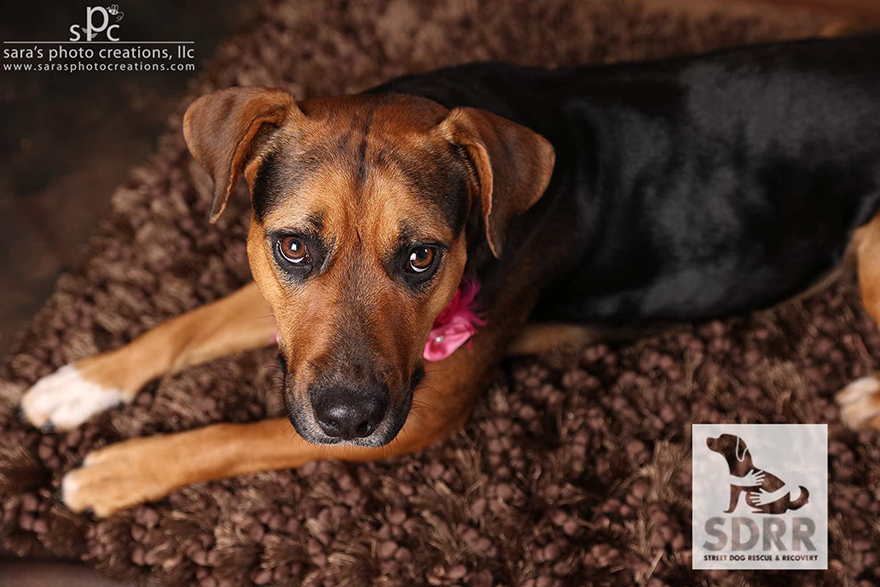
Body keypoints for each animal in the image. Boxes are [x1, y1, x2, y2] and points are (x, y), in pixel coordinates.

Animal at [15, 33, 880, 520]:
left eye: (421, 256)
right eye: (293, 247)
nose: (348, 415)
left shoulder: (418, 416)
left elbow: (234, 436)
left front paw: (123, 467)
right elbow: (185, 322)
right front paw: (82, 380)